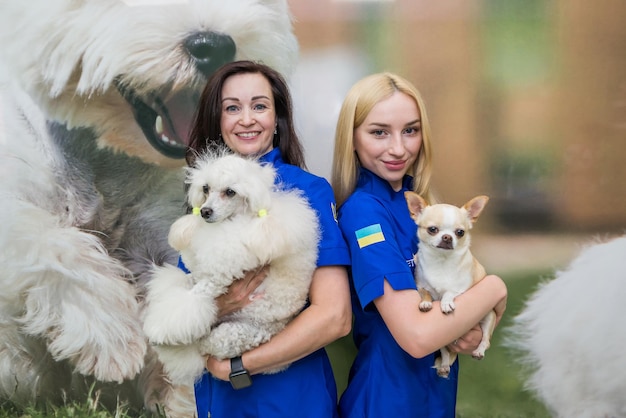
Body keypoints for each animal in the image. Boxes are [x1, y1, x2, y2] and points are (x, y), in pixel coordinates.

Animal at [143, 150, 320, 386]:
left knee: (206, 345)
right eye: (206, 188)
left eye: (230, 192)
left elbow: (191, 301)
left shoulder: (219, 274)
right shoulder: (198, 272)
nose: (205, 212)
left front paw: (159, 329)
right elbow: (184, 281)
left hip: (235, 334)